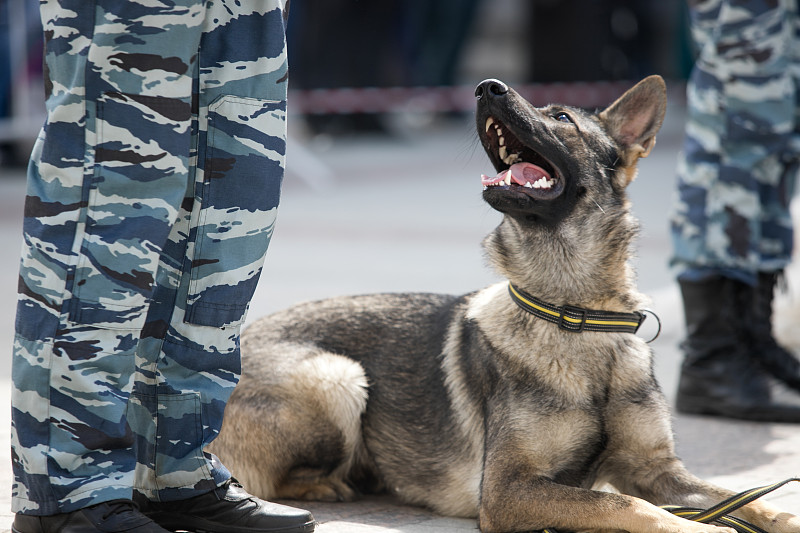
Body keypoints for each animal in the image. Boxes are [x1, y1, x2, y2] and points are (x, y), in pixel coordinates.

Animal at [211, 76, 800, 532]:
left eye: (560, 117)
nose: (485, 87)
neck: (577, 317)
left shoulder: (659, 470)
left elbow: (747, 499)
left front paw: (780, 517)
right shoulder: (510, 490)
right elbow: (629, 505)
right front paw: (698, 527)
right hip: (337, 377)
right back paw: (330, 485)